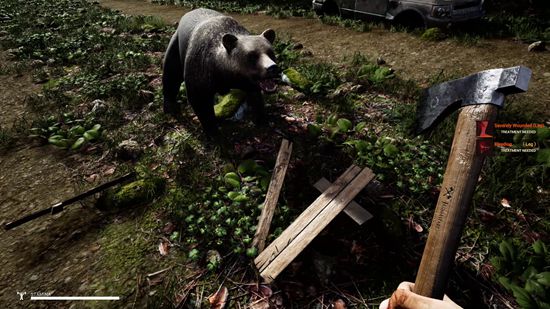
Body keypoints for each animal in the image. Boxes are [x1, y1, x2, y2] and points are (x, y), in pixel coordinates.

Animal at [162, 8, 278, 136]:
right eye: (252, 56)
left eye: (270, 52)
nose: (272, 68)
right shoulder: (200, 72)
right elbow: (200, 102)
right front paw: (214, 132)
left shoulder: (247, 83)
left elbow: (256, 97)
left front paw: (262, 120)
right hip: (176, 45)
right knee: (171, 73)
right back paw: (170, 106)